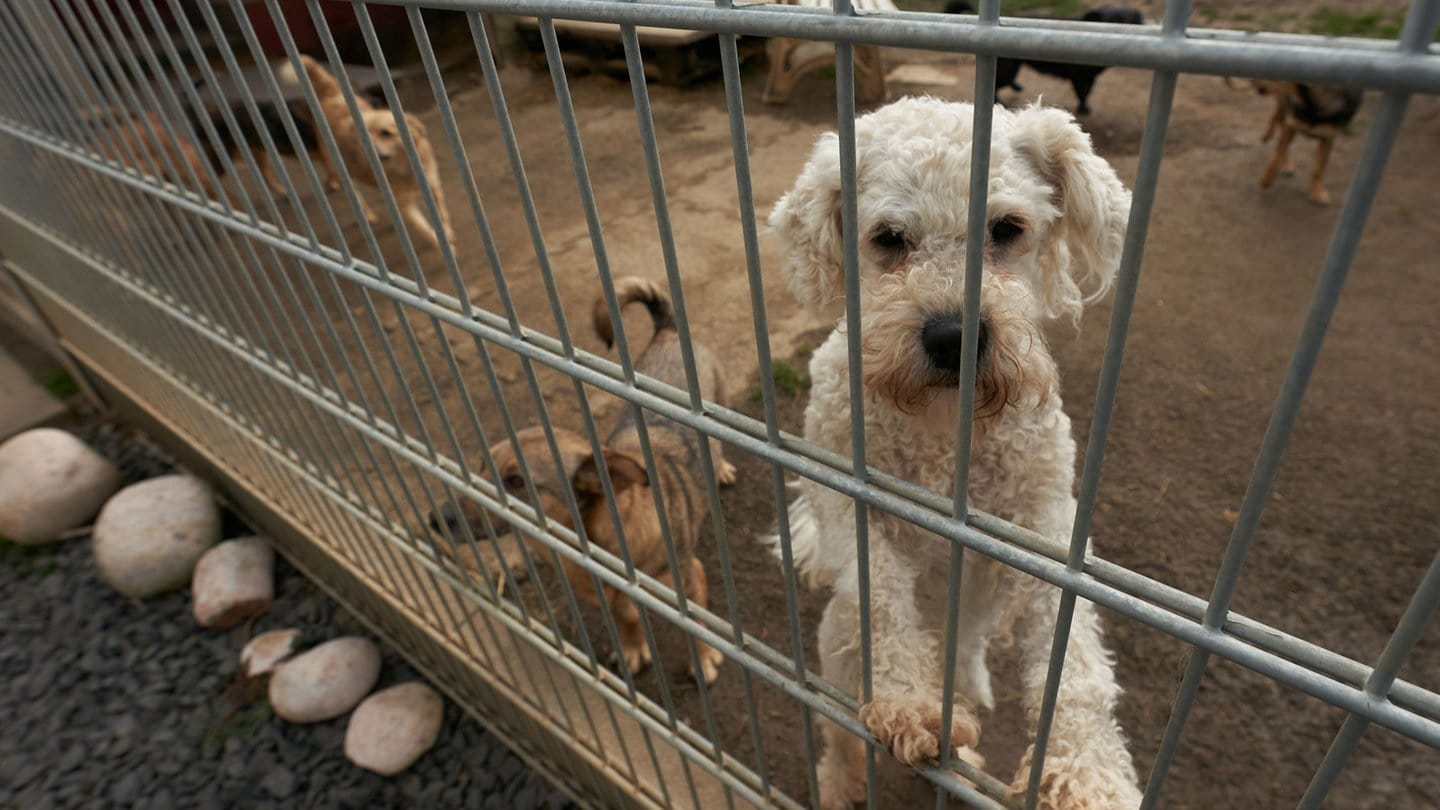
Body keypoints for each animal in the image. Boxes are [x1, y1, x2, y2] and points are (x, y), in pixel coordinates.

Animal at [270, 53, 446, 252]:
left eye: (386, 133)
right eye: (364, 135)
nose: (365, 149)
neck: (405, 167)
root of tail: (332, 96)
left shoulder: (434, 186)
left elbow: (442, 214)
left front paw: (448, 234)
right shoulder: (406, 207)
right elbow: (426, 230)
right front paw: (442, 246)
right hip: (343, 173)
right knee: (356, 196)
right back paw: (367, 214)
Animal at [429, 276, 731, 680]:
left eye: (516, 481)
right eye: (479, 466)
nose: (436, 518)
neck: (599, 538)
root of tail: (667, 331)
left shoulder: (690, 581)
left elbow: (695, 628)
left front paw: (703, 658)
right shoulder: (612, 599)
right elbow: (626, 618)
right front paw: (633, 648)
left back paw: (723, 468)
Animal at [771, 98, 1140, 801]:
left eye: (1007, 228)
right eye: (889, 237)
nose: (952, 336)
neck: (945, 434)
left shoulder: (1044, 525)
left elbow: (1075, 661)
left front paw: (1087, 771)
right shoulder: (842, 494)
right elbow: (881, 592)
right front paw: (907, 702)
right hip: (836, 653)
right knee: (837, 732)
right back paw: (841, 781)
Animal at [950, 2, 1140, 115]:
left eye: (1126, 19)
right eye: (1113, 19)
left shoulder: (1089, 77)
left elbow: (1086, 93)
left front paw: (1084, 107)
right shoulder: (1079, 76)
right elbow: (1082, 92)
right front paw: (1083, 109)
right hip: (1008, 69)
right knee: (998, 85)